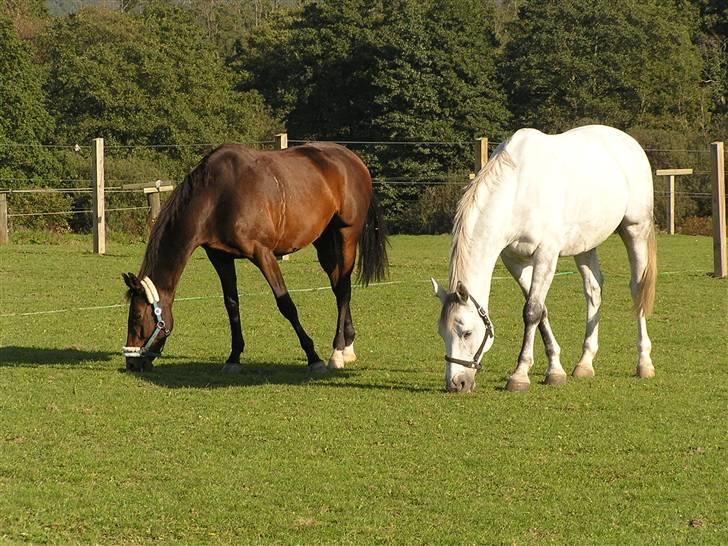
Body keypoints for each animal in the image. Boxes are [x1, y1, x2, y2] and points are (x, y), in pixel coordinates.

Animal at [122, 140, 390, 372]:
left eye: (136, 317)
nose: (132, 363)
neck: (216, 197)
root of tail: (353, 159)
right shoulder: (220, 257)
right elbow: (232, 304)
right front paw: (233, 358)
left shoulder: (263, 254)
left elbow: (286, 304)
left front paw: (313, 357)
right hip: (324, 240)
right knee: (338, 286)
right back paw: (347, 347)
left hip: (347, 235)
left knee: (343, 289)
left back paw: (336, 353)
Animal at [430, 124, 656, 392]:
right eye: (441, 332)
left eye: (466, 332)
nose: (457, 383)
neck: (517, 192)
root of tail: (630, 143)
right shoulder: (515, 261)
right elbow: (541, 310)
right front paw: (555, 370)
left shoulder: (546, 255)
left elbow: (532, 312)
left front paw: (519, 375)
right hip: (585, 245)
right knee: (594, 291)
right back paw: (585, 363)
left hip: (635, 229)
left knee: (637, 288)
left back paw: (644, 363)